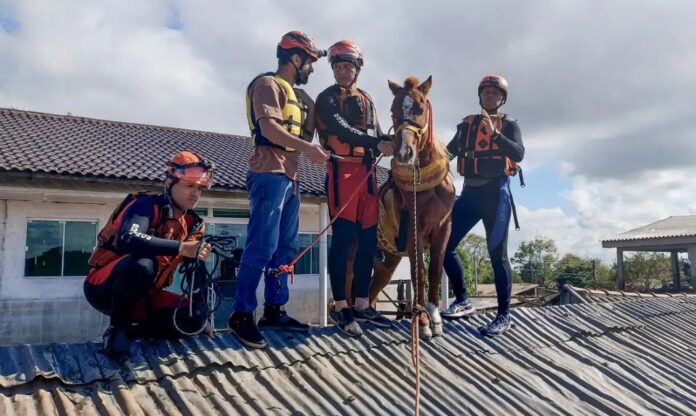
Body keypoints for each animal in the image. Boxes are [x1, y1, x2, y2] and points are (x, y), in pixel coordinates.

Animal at [346, 76, 454, 340]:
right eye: (393, 111)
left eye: (421, 108)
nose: (404, 153)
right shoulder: (415, 229)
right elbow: (419, 273)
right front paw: (422, 321)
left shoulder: (444, 228)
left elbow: (435, 269)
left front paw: (435, 317)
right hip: (354, 252)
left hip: (386, 262)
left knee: (371, 290)